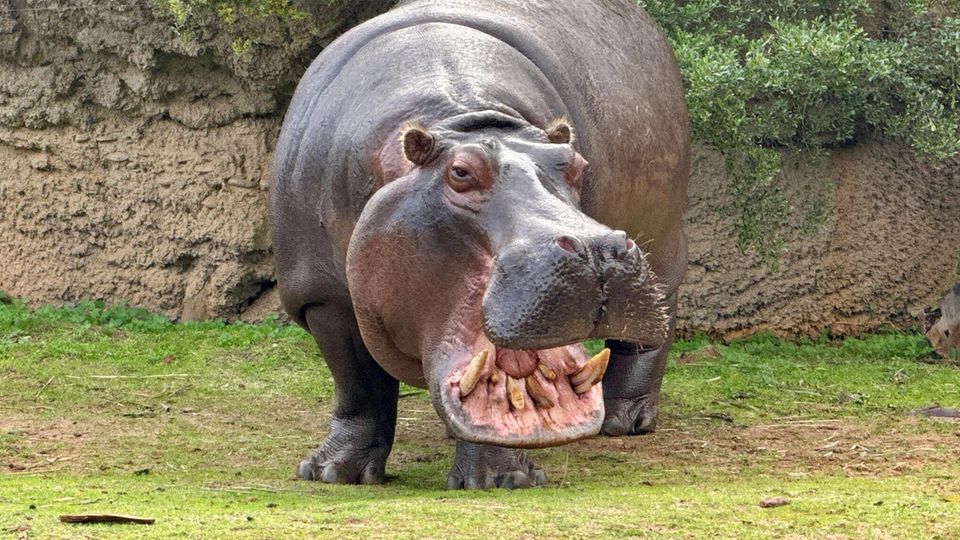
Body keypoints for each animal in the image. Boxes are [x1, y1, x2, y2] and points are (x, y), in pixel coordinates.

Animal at [270, 0, 689, 489]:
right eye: (461, 173)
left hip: (664, 244)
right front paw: (332, 473)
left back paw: (626, 421)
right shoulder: (322, 297)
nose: (597, 249)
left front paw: (498, 480)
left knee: (652, 328)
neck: (461, 119)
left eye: (575, 164)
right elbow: (358, 386)